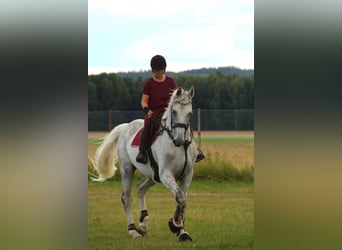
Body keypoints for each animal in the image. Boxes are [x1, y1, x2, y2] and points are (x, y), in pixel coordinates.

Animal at [92, 87, 196, 241]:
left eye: (190, 113)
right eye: (174, 112)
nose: (179, 140)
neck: (179, 147)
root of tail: (126, 127)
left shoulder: (187, 175)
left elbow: (182, 199)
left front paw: (181, 231)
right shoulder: (166, 174)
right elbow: (180, 197)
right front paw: (175, 225)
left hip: (152, 175)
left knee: (140, 188)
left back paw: (143, 224)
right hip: (127, 169)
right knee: (126, 198)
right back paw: (133, 230)